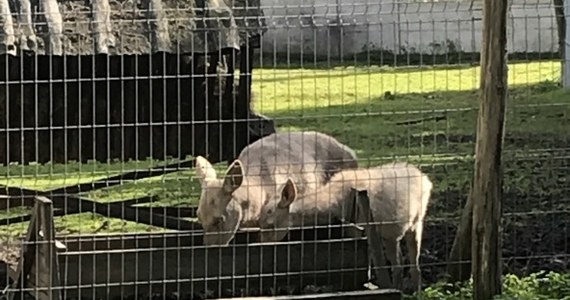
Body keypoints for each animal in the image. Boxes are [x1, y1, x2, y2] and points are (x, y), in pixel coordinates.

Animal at [258, 163, 430, 290]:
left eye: (270, 225)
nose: (263, 247)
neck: (333, 205)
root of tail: (427, 181)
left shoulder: (360, 229)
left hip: (408, 224)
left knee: (403, 264)